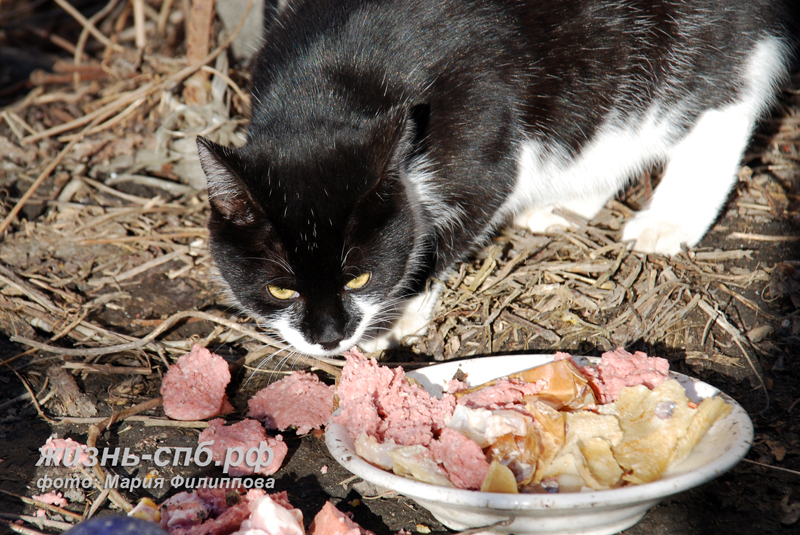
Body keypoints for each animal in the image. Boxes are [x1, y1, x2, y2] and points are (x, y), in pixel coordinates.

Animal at [197, 2, 796, 358]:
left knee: (726, 92)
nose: (329, 338)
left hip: (689, 40)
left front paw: (398, 315)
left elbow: (456, 223)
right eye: (281, 288)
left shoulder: (483, 139)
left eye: (359, 278)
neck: (325, 89)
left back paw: (669, 219)